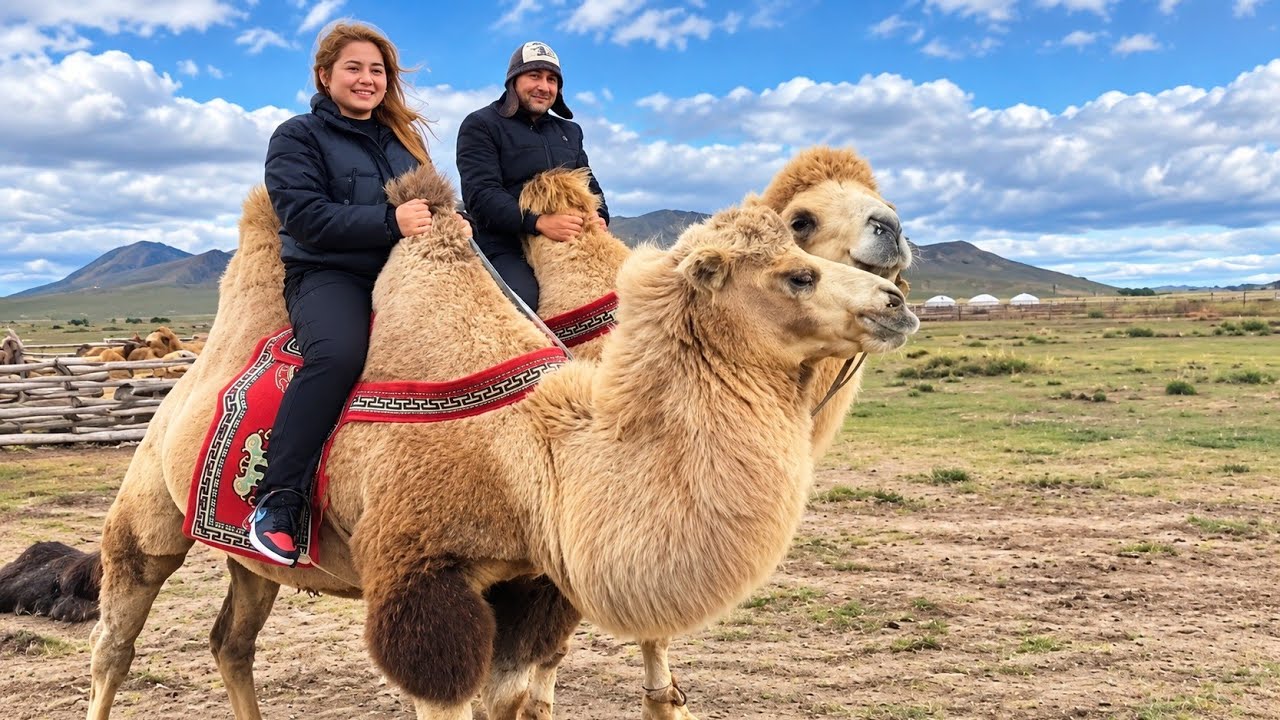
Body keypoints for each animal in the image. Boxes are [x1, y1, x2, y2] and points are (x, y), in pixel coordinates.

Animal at [80, 163, 914, 720]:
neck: (537, 455)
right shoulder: (422, 586)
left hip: (250, 555)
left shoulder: (531, 582)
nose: (896, 299)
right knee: (116, 638)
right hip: (149, 507)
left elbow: (513, 698)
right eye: (796, 270)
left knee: (232, 640)